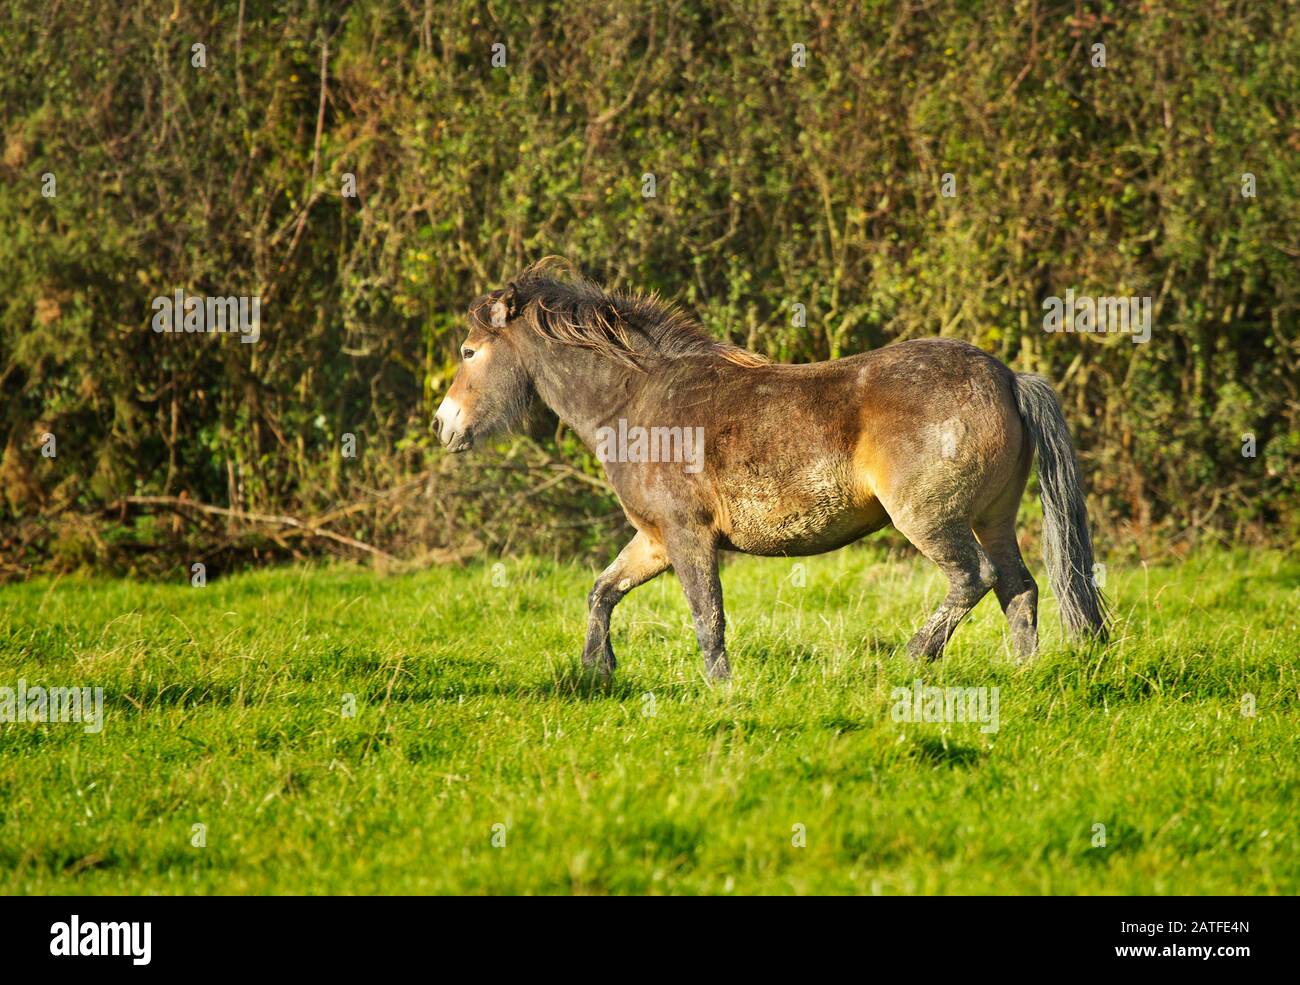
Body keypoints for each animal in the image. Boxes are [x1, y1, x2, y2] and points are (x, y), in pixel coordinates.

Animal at [434, 259, 1108, 681]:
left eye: (469, 351)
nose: (444, 425)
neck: (635, 402)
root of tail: (1008, 377)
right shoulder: (654, 539)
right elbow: (602, 591)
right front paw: (597, 671)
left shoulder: (688, 536)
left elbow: (708, 618)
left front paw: (720, 689)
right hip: (994, 516)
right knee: (1019, 586)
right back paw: (1023, 672)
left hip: (930, 519)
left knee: (975, 578)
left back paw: (913, 657)